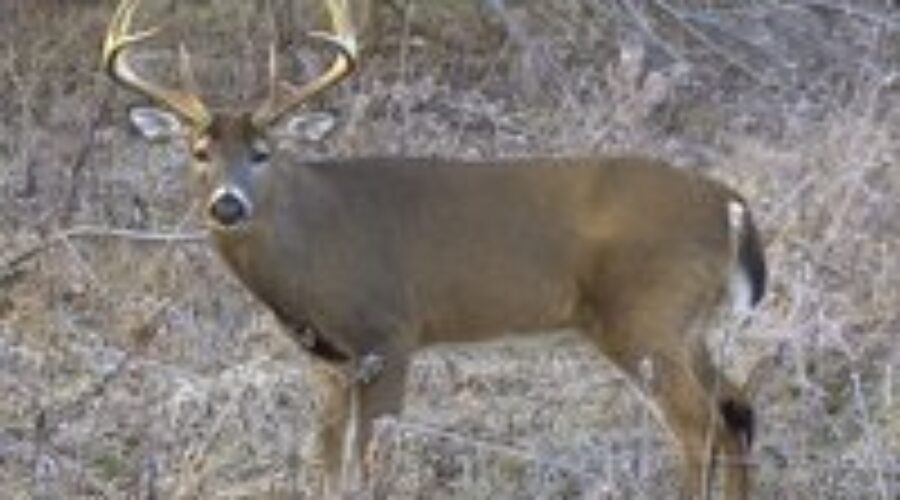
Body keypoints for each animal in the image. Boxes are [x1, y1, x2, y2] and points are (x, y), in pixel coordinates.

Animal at [102, 0, 766, 498]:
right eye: (199, 152)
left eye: (263, 152)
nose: (227, 205)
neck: (311, 250)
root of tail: (729, 202)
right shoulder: (328, 360)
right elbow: (326, 466)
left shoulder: (391, 333)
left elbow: (373, 465)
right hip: (687, 325)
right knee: (737, 410)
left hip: (645, 316)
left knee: (701, 429)